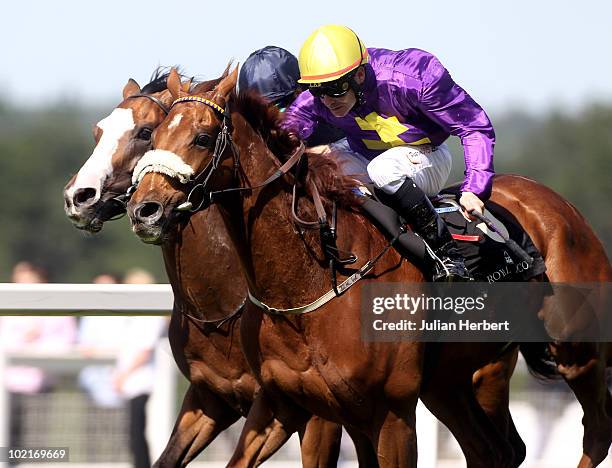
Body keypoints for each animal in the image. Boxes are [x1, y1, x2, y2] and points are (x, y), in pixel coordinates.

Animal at [63, 70, 350, 468]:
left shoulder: (315, 413)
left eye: (145, 132)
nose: (79, 196)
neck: (220, 301)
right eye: (98, 131)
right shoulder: (209, 398)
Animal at [126, 68, 608, 468]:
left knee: (596, 435)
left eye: (203, 138)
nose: (144, 210)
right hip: (448, 383)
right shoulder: (283, 405)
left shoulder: (388, 412)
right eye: (153, 136)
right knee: (494, 451)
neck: (311, 282)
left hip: (575, 352)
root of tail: (553, 203)